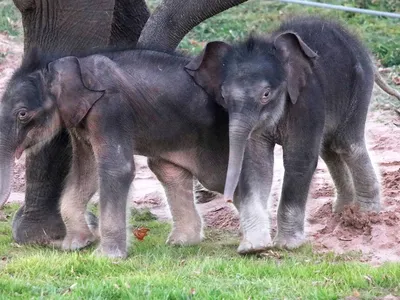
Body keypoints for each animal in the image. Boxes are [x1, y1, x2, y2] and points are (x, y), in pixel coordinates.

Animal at [186, 16, 382, 251]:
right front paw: (254, 247)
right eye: (223, 96)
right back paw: (342, 210)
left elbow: (299, 160)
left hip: (359, 86)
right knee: (329, 149)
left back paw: (367, 214)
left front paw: (287, 246)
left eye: (266, 94)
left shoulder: (306, 101)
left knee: (347, 145)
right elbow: (257, 164)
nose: (226, 199)